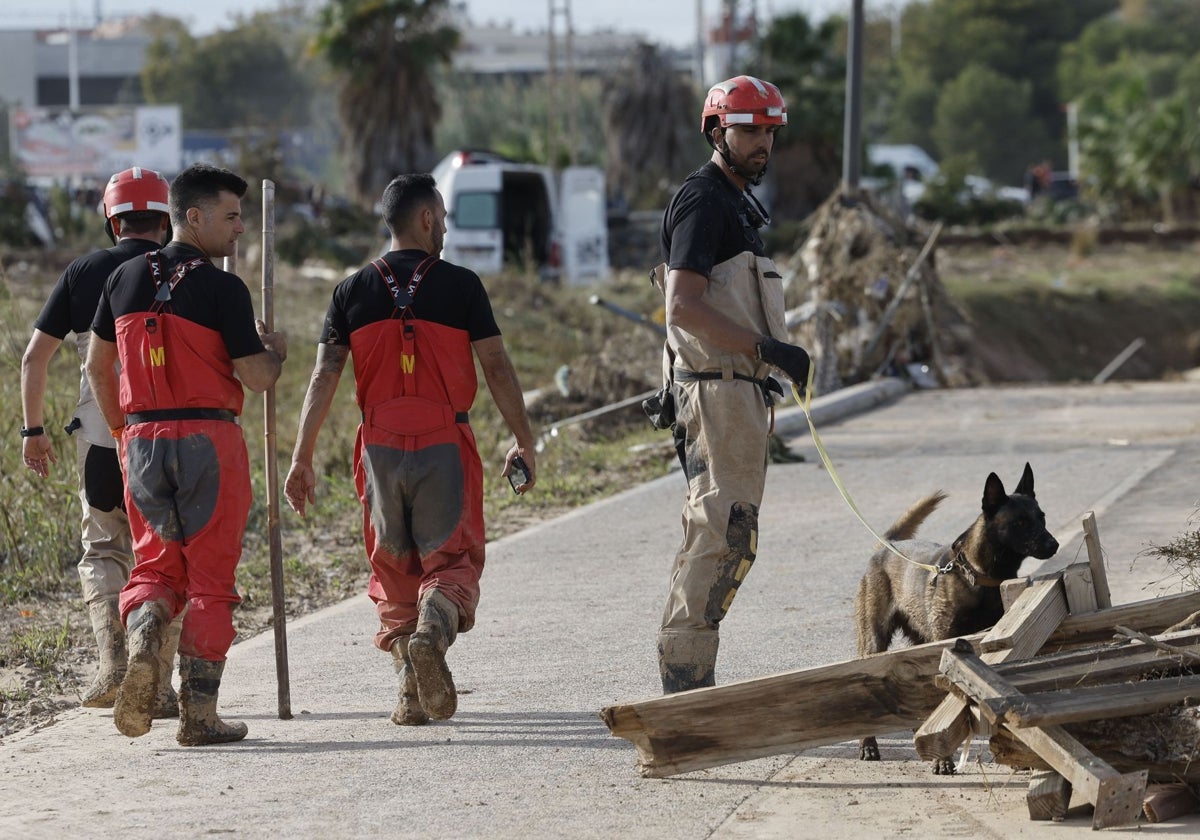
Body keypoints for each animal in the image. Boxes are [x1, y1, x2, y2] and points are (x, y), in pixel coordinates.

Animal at [854, 463, 1060, 772]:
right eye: (1021, 522)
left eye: (1042, 517)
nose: (1053, 544)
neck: (978, 575)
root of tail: (888, 545)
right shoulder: (947, 644)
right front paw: (943, 759)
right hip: (874, 640)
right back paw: (868, 744)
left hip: (920, 641)